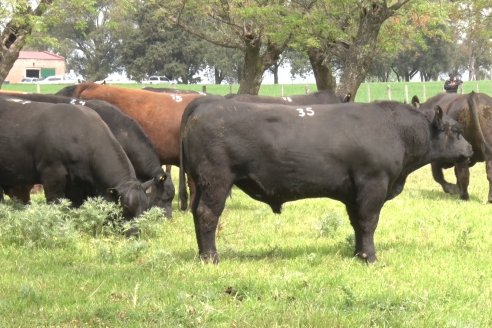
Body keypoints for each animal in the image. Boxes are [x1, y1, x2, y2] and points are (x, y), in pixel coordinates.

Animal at [179, 97, 470, 264]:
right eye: (456, 130)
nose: (469, 150)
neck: (396, 130)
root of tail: (205, 103)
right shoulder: (373, 184)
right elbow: (369, 223)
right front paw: (371, 258)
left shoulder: (354, 192)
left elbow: (357, 223)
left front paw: (359, 254)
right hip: (216, 181)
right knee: (207, 215)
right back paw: (211, 258)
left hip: (201, 184)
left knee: (196, 213)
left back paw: (201, 254)